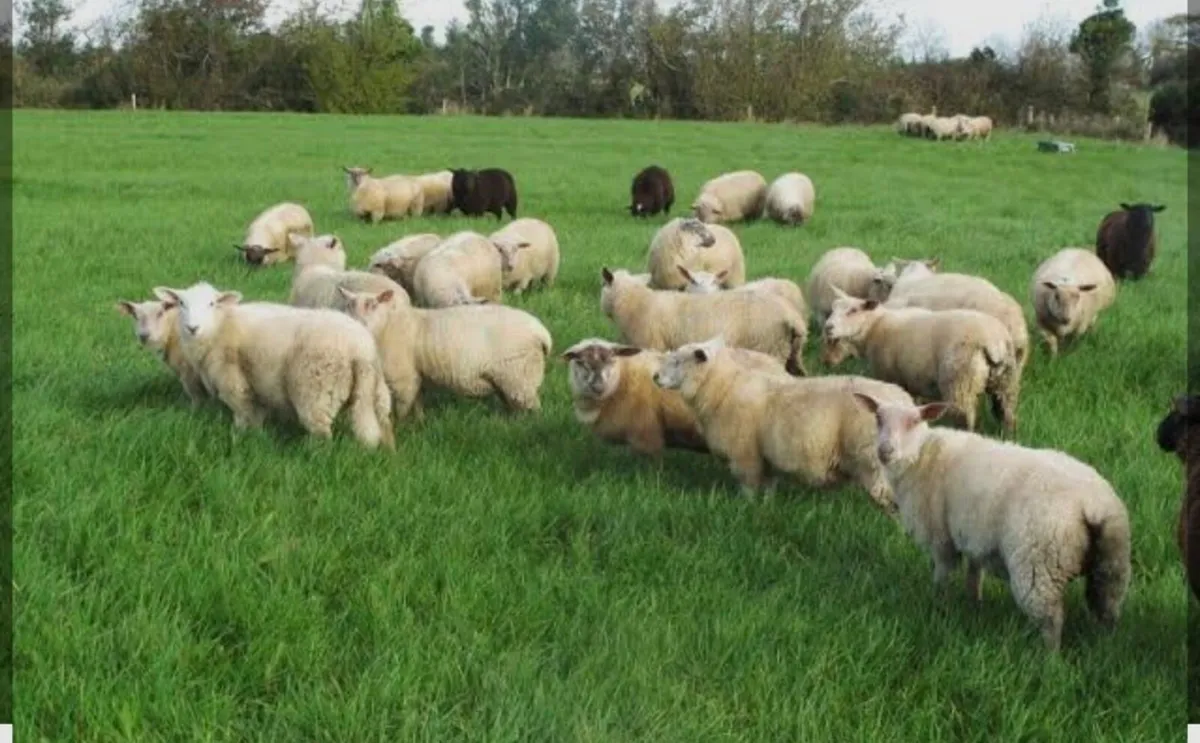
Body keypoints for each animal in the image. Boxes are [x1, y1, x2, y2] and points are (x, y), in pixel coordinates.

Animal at [154, 282, 394, 449]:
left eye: (211, 304)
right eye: (181, 303)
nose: (192, 327)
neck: (220, 325)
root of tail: (360, 347)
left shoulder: (233, 381)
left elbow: (243, 415)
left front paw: (241, 437)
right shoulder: (257, 385)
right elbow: (258, 414)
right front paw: (258, 435)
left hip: (315, 389)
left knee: (322, 435)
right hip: (376, 393)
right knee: (384, 425)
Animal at [339, 286, 551, 419]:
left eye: (373, 305)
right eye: (348, 305)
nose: (356, 323)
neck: (387, 324)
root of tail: (541, 332)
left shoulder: (403, 377)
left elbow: (403, 408)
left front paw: (402, 428)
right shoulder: (416, 375)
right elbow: (417, 402)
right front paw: (420, 422)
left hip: (519, 374)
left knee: (533, 407)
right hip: (510, 378)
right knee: (514, 404)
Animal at [651, 336, 911, 511]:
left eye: (677, 361)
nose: (654, 376)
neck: (722, 389)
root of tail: (905, 402)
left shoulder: (745, 456)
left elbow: (749, 489)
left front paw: (747, 508)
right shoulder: (767, 457)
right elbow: (769, 487)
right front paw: (766, 508)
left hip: (876, 465)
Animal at [822, 293, 1021, 434]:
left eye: (853, 311)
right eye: (833, 310)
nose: (828, 327)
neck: (876, 327)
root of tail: (993, 340)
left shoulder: (889, 376)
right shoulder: (912, 380)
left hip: (960, 380)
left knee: (964, 419)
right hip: (1006, 381)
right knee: (1007, 414)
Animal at [852, 394, 1132, 652]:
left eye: (913, 421)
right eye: (878, 418)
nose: (884, 451)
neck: (921, 456)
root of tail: (1094, 504)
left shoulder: (940, 537)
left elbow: (942, 576)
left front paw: (938, 605)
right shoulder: (975, 536)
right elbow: (974, 576)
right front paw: (974, 605)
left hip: (1039, 563)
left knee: (1051, 619)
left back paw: (1047, 659)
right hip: (1111, 562)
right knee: (1108, 610)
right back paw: (1104, 648)